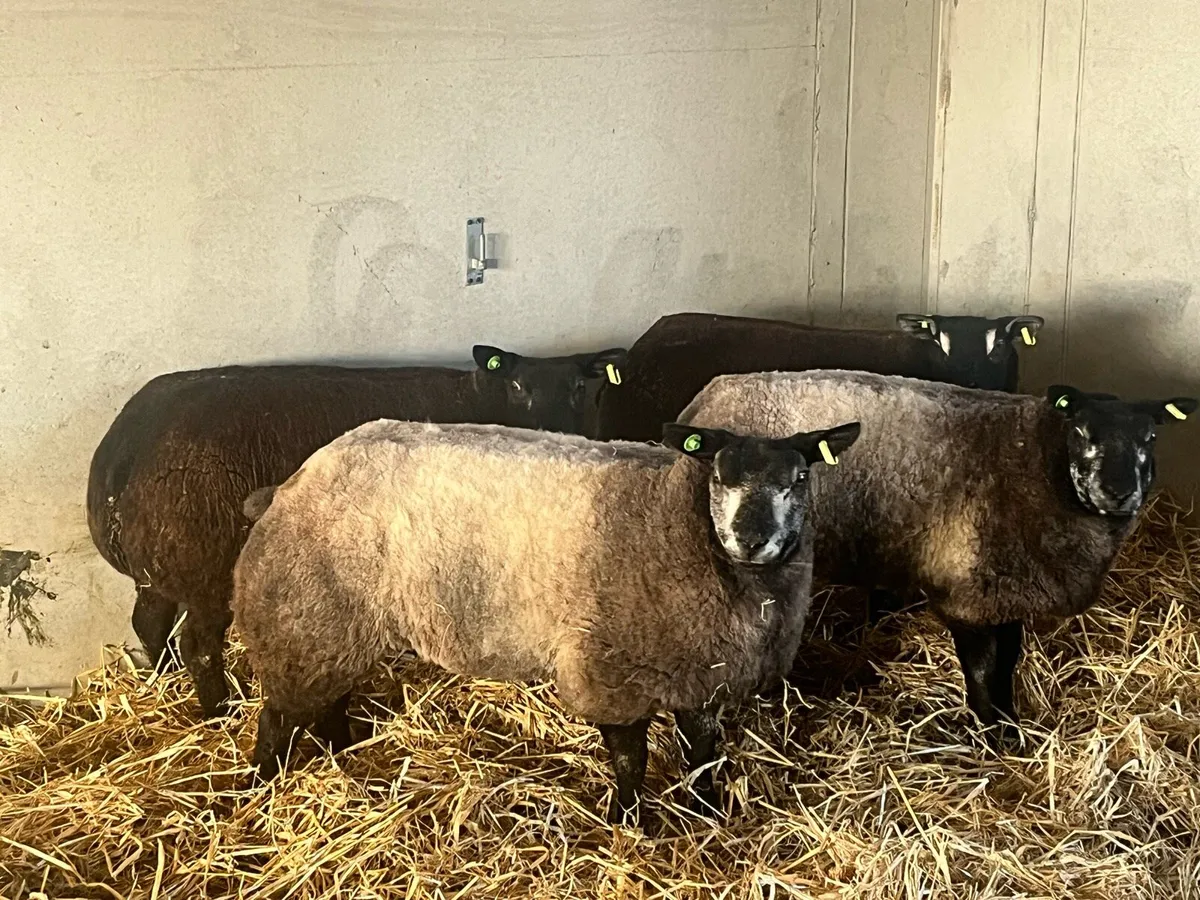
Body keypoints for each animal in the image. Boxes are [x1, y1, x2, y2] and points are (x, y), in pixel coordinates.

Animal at [86, 344, 627, 719]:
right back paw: (218, 712)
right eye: (517, 387)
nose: (558, 432)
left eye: (583, 387)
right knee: (199, 646)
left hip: (158, 565)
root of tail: (120, 456)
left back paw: (162, 680)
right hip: (206, 568)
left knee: (149, 622)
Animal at [232, 416, 861, 823]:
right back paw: (260, 787)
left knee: (325, 700)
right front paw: (629, 823)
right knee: (277, 718)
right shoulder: (611, 670)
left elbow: (702, 755)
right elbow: (630, 759)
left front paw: (706, 814)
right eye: (719, 476)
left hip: (329, 625)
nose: (751, 539)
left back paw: (342, 754)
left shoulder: (703, 675)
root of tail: (292, 482)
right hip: (301, 617)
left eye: (800, 478)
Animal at [677, 369, 1197, 740]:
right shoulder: (965, 594)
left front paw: (1011, 726)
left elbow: (1008, 661)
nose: (1118, 492)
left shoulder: (1005, 590)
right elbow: (982, 671)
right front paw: (991, 735)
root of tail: (708, 393)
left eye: (1151, 438)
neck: (1040, 465)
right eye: (1082, 433)